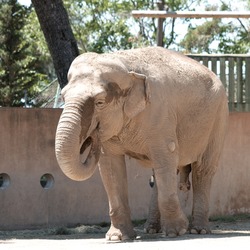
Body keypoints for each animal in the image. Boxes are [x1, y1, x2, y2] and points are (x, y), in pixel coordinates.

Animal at [55, 46, 229, 240]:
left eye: (99, 102)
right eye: (63, 97)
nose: (92, 138)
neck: (126, 65)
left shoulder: (160, 114)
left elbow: (167, 156)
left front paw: (176, 232)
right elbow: (110, 167)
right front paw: (117, 238)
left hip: (219, 117)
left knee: (202, 169)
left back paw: (198, 230)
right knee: (160, 172)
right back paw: (152, 230)